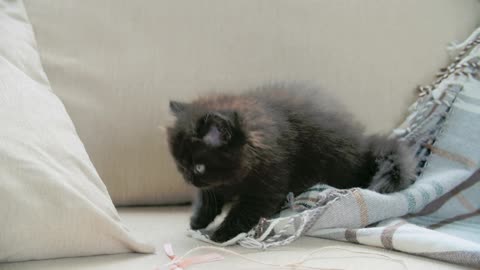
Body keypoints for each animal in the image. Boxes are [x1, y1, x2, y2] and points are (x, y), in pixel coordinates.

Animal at [167, 83, 414, 243]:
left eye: (199, 167)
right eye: (180, 164)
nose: (187, 177)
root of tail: (364, 147)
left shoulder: (268, 181)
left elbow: (245, 211)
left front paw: (221, 233)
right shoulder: (218, 184)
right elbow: (208, 197)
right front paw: (198, 220)